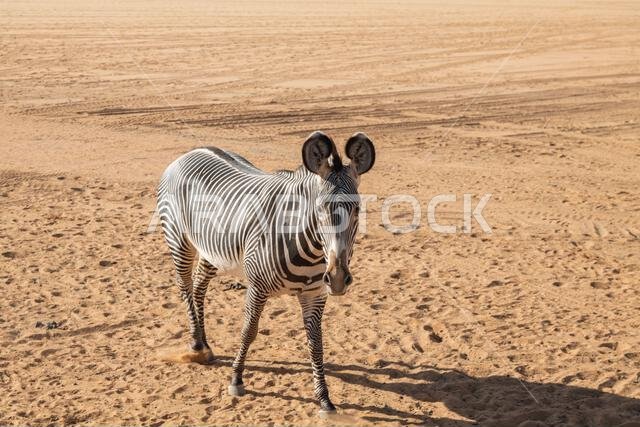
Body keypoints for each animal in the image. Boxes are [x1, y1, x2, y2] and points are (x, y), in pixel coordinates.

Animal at [157, 131, 375, 414]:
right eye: (319, 210)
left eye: (357, 210)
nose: (337, 279)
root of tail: (191, 152)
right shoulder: (257, 287)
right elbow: (248, 331)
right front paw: (236, 379)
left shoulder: (315, 294)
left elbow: (316, 344)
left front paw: (324, 399)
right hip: (178, 239)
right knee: (184, 286)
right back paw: (196, 345)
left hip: (211, 250)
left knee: (198, 286)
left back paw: (203, 344)